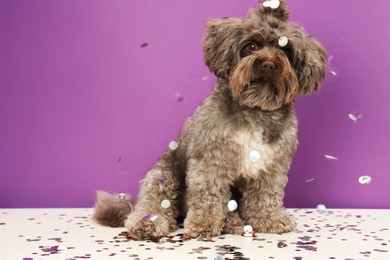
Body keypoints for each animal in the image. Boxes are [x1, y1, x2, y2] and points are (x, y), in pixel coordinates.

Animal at [93, 0, 326, 240]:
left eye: (285, 49)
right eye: (251, 46)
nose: (269, 64)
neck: (255, 109)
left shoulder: (272, 166)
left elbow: (265, 194)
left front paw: (269, 219)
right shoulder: (211, 161)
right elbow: (208, 196)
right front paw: (203, 224)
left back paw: (233, 222)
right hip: (162, 177)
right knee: (154, 202)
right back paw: (147, 223)